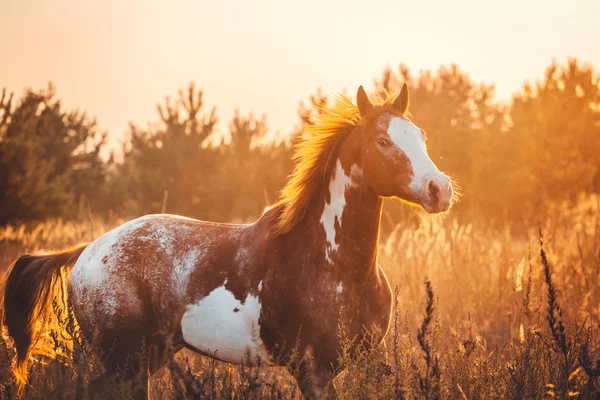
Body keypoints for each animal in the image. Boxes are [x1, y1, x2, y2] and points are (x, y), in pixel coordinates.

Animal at [0, 83, 452, 398]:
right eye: (383, 141)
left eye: (421, 136)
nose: (440, 189)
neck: (334, 265)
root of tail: (87, 251)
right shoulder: (313, 371)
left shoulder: (348, 365)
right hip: (126, 359)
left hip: (150, 355)